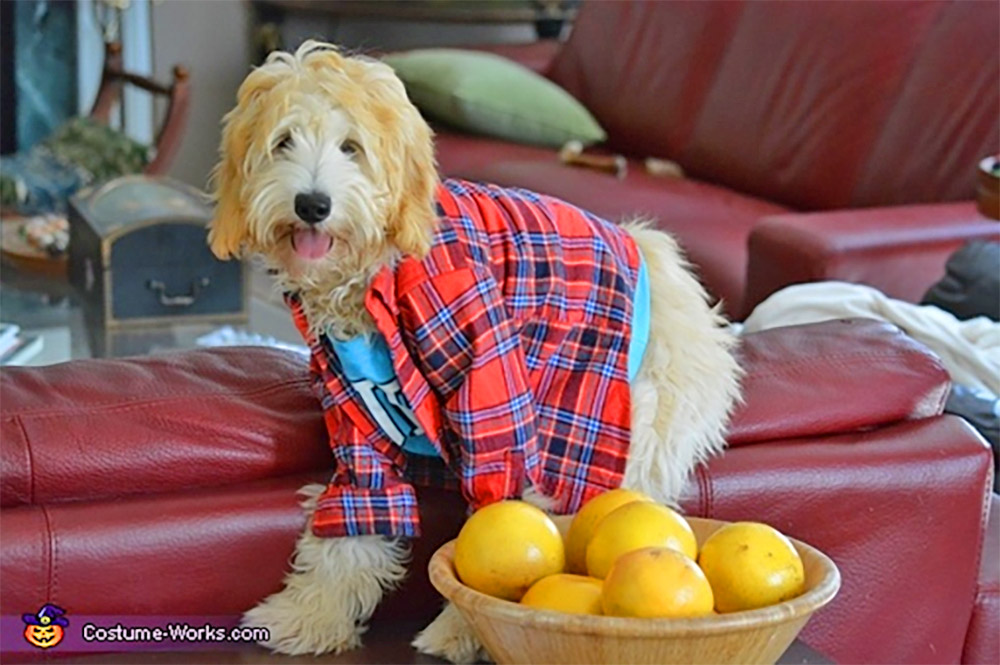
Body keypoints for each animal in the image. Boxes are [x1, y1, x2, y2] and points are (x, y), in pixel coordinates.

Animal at [209, 40, 744, 660]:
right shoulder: (355, 404)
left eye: (351, 148)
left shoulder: (483, 359)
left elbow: (501, 508)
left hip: (621, 417)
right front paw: (313, 614)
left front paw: (467, 628)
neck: (378, 269)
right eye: (283, 142)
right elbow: (360, 509)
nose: (312, 204)